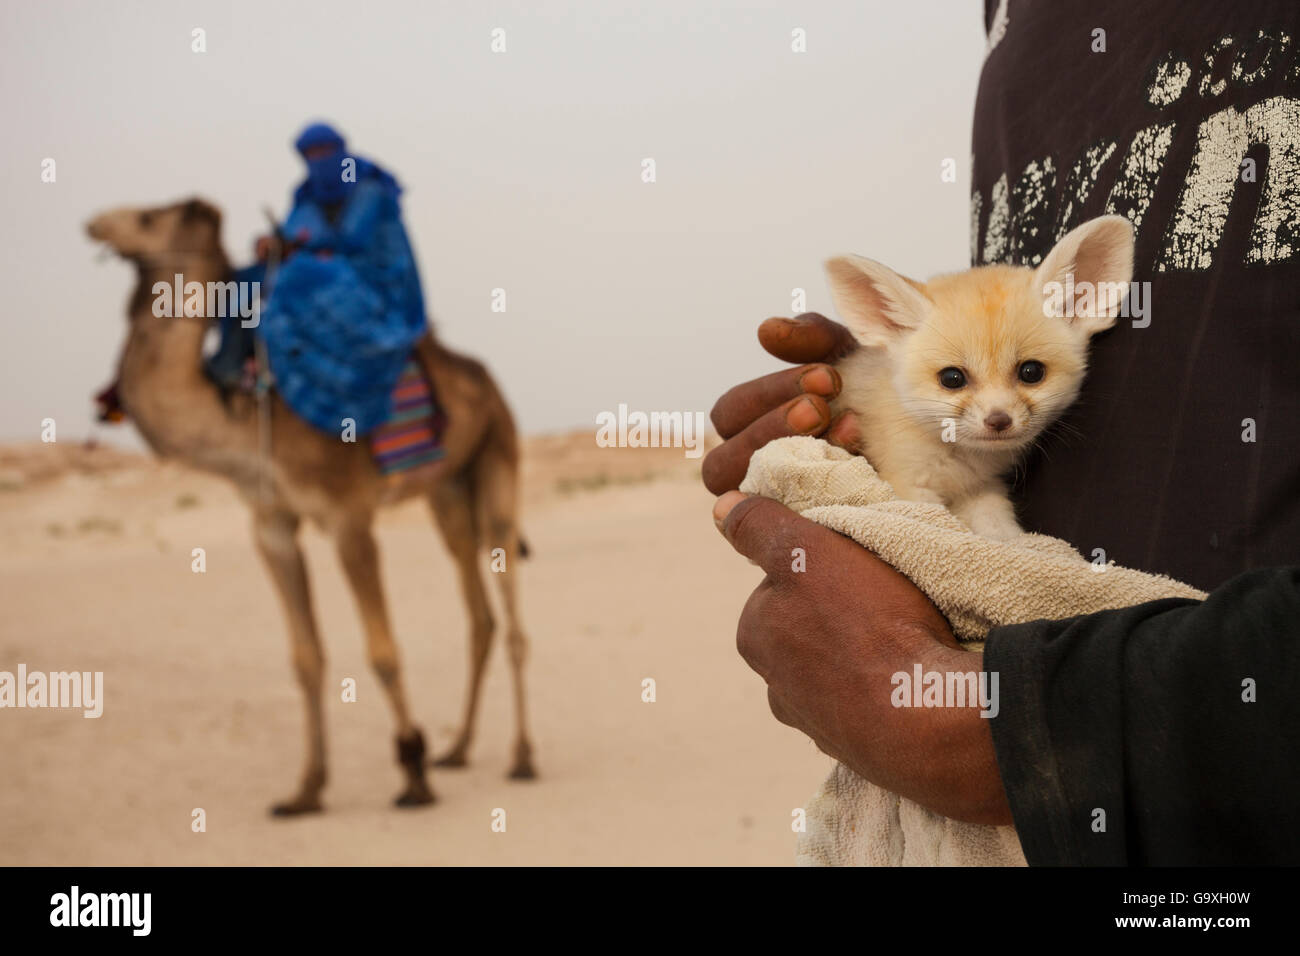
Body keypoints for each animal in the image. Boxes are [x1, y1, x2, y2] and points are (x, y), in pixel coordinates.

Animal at [86, 197, 535, 816]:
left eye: (150, 217)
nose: (95, 223)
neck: (248, 416)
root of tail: (486, 381)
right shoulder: (270, 522)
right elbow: (306, 657)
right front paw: (306, 789)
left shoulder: (349, 518)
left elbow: (382, 650)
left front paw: (412, 774)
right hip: (446, 489)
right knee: (478, 610)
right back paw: (459, 749)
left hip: (497, 454)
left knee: (509, 598)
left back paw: (522, 757)